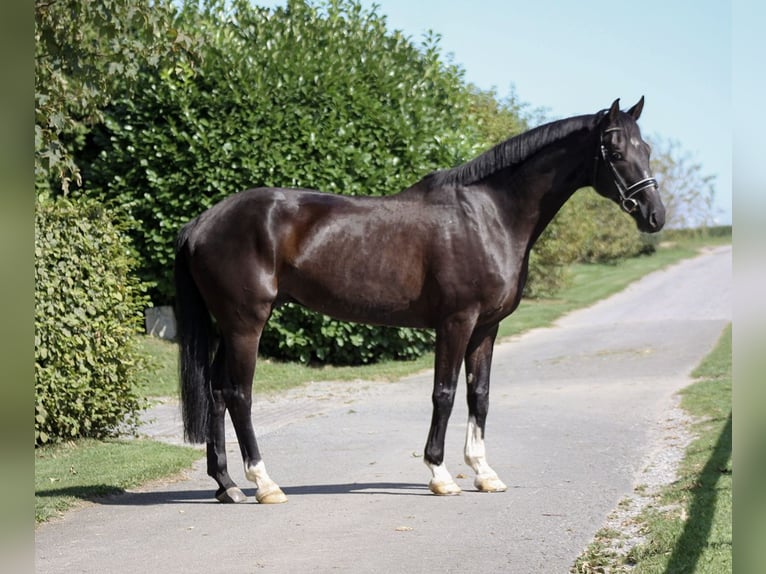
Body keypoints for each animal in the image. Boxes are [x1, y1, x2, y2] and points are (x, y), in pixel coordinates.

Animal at [174, 98, 664, 504]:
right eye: (614, 152)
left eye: (647, 148)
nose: (655, 215)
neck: (489, 216)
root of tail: (203, 221)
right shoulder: (456, 322)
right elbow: (444, 394)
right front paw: (440, 475)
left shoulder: (487, 327)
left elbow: (480, 395)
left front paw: (484, 473)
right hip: (246, 323)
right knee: (238, 394)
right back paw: (264, 484)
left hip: (230, 326)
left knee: (216, 393)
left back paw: (227, 485)